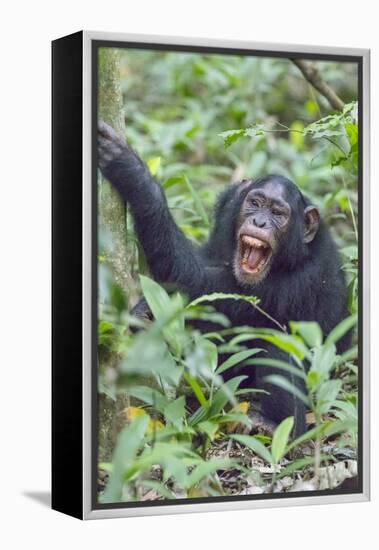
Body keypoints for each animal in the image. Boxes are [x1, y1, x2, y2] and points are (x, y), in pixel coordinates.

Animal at [98, 119, 350, 436]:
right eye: (255, 202)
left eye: (278, 213)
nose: (260, 221)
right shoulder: (226, 211)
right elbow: (206, 264)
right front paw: (144, 312)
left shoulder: (300, 282)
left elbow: (201, 284)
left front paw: (133, 172)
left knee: (278, 347)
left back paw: (275, 425)